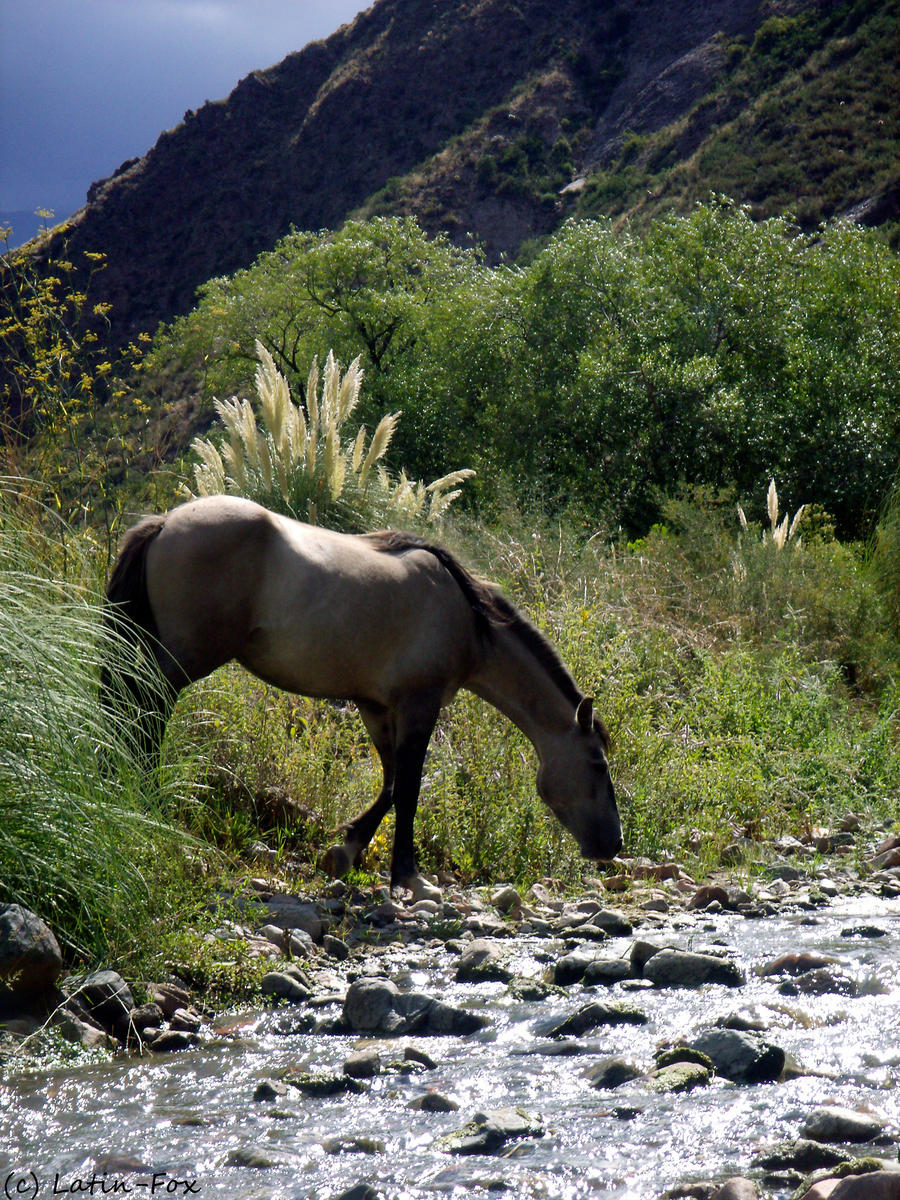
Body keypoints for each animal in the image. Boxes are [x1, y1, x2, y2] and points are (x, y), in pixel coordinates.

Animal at [98, 492, 619, 897]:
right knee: (144, 720)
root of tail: (165, 523)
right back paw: (145, 799)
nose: (613, 844)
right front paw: (409, 877)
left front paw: (343, 853)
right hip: (176, 664)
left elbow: (389, 785)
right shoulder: (419, 706)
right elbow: (408, 787)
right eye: (598, 764)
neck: (466, 619)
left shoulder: (377, 707)